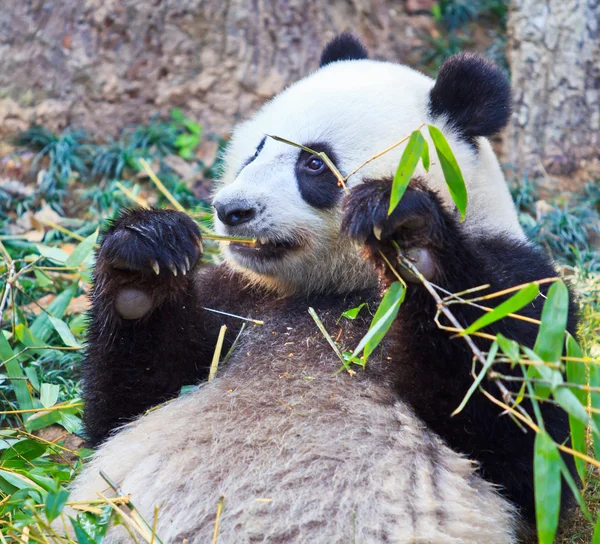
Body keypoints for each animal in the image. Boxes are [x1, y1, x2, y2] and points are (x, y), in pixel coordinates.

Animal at [59, 35, 576, 544]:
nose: (232, 210)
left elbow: (524, 444)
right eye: (256, 150)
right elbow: (124, 410)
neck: (335, 288)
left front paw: (411, 236)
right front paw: (145, 257)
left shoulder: (527, 291)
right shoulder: (238, 301)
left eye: (313, 163)